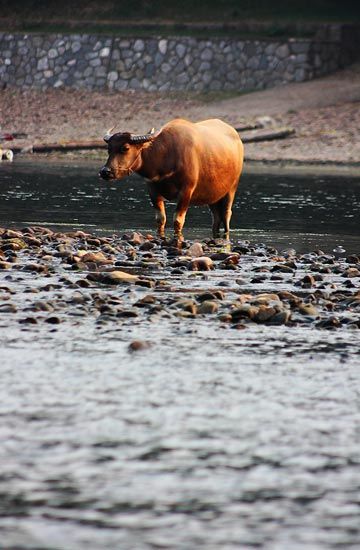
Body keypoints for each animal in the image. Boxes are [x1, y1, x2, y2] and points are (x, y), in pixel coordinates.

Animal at [100, 118, 243, 242]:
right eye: (109, 149)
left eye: (125, 148)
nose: (105, 172)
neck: (166, 156)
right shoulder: (153, 190)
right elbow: (160, 219)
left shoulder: (186, 191)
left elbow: (178, 220)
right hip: (213, 196)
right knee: (216, 217)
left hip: (232, 189)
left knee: (226, 214)